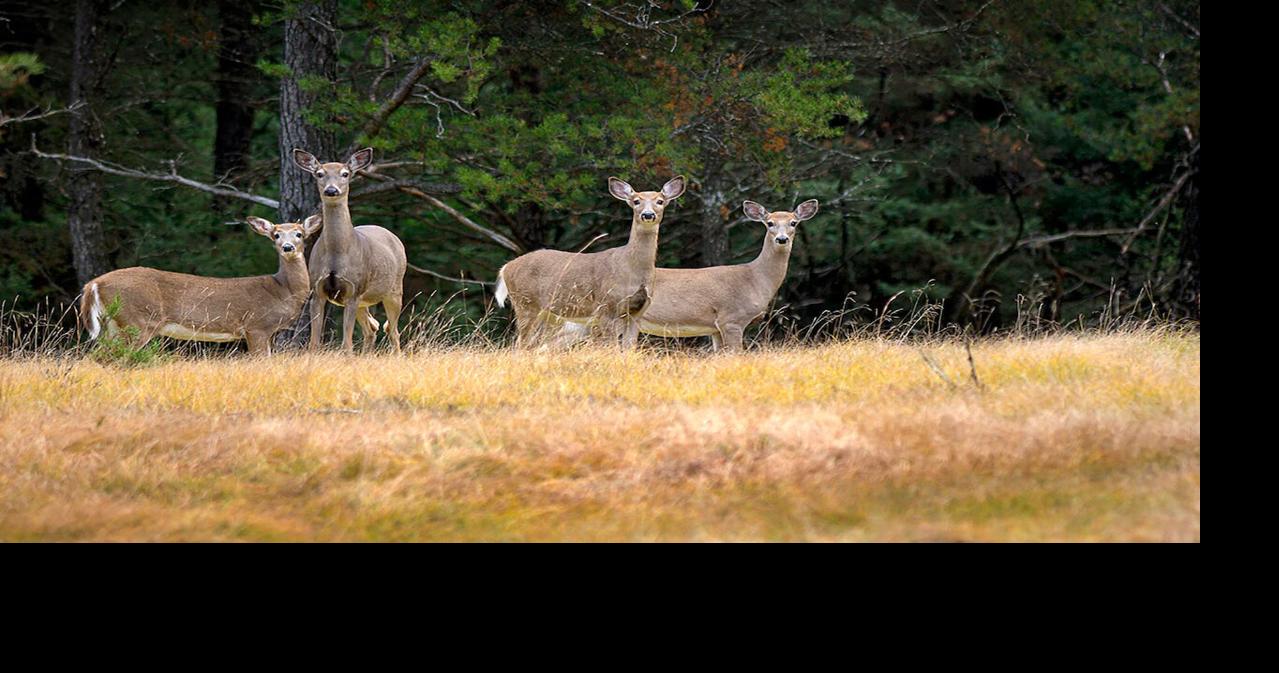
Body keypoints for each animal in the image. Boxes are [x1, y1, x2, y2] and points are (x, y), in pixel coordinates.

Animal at [79, 215, 322, 355]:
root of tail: (93, 284)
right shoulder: (256, 326)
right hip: (137, 320)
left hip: (112, 324)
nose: (288, 247)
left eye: (300, 234)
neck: (282, 291)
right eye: (276, 235)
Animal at [292, 147, 407, 354]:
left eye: (345, 174)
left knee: (392, 331)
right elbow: (314, 343)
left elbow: (347, 343)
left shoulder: (353, 290)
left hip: (394, 290)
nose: (331, 190)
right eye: (319, 174)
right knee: (373, 328)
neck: (336, 254)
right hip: (364, 301)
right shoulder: (317, 291)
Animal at [493, 175, 686, 348]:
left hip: (549, 314)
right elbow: (610, 347)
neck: (632, 269)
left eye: (660, 201)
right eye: (636, 201)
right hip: (525, 303)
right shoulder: (606, 305)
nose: (648, 214)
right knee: (520, 344)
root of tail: (506, 267)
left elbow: (629, 348)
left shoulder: (637, 312)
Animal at [554, 199, 818, 351]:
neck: (754, 278)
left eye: (793, 223)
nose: (781, 239)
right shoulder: (731, 318)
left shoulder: (714, 328)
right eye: (769, 223)